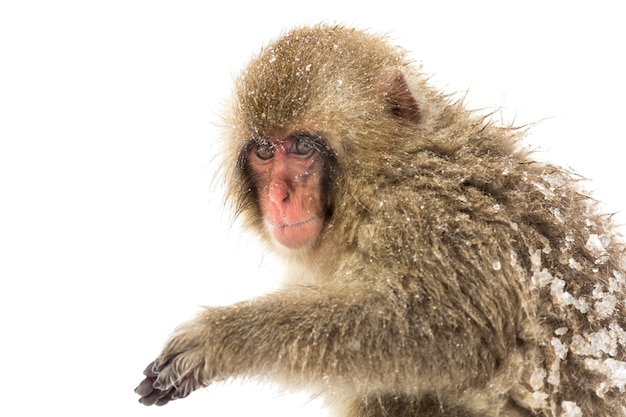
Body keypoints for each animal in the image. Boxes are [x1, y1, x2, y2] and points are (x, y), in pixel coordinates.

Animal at [135, 24, 624, 414]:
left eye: (302, 147)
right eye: (265, 152)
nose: (278, 197)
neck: (386, 176)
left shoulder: (431, 222)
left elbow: (457, 334)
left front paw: (226, 338)